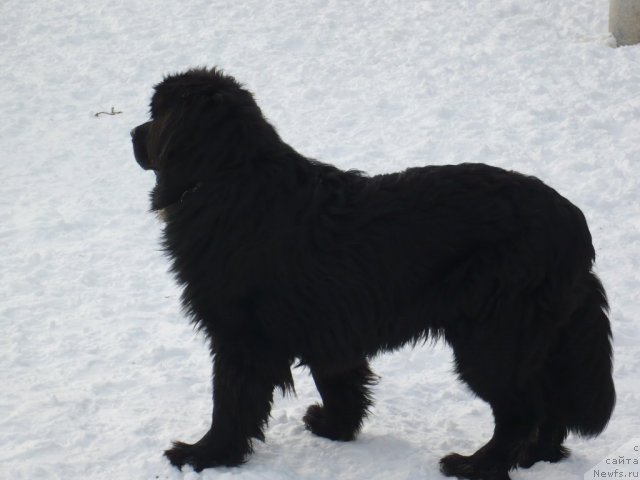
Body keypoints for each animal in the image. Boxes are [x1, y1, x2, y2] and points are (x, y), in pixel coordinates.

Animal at [131, 67, 616, 480]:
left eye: (154, 114)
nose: (132, 133)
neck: (230, 175)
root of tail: (574, 226)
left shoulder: (239, 336)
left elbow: (230, 402)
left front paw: (205, 454)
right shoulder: (327, 326)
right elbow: (339, 383)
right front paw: (335, 428)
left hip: (493, 337)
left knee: (520, 410)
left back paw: (475, 465)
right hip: (538, 336)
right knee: (550, 403)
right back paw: (537, 457)